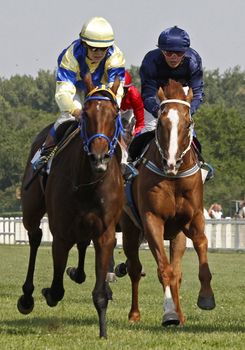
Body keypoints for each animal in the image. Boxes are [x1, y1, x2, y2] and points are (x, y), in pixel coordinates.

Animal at [17, 74, 123, 340]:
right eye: (86, 114)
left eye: (115, 113)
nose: (99, 158)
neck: (88, 181)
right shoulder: (61, 233)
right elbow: (56, 290)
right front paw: (46, 292)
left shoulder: (105, 232)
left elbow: (99, 292)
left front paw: (103, 331)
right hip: (31, 209)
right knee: (35, 237)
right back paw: (27, 296)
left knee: (82, 243)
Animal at [121, 78, 215, 326]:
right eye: (161, 123)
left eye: (188, 122)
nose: (171, 163)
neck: (174, 177)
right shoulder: (152, 219)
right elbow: (164, 270)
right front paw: (169, 313)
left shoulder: (193, 217)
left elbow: (201, 244)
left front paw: (206, 297)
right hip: (129, 228)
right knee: (135, 268)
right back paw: (136, 314)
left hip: (177, 236)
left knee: (177, 272)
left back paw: (180, 314)